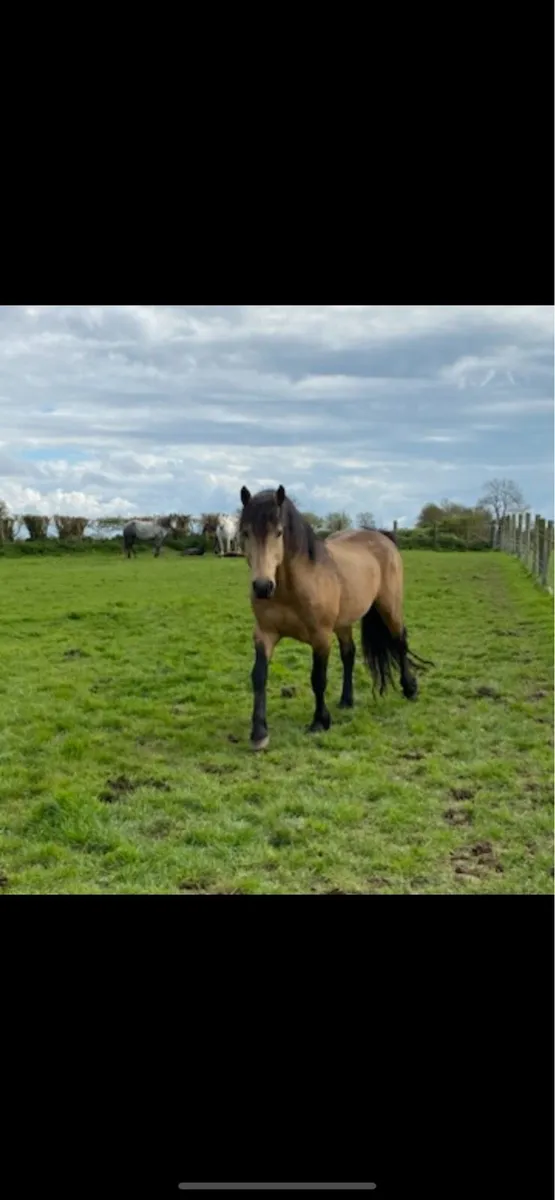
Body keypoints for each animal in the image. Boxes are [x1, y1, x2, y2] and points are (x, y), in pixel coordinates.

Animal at [239, 485, 433, 750]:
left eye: (278, 532)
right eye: (245, 532)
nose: (262, 587)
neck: (292, 587)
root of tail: (382, 537)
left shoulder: (321, 637)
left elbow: (318, 678)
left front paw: (320, 721)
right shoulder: (264, 634)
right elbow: (259, 676)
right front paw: (259, 733)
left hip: (389, 607)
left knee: (399, 641)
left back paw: (410, 689)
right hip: (344, 623)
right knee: (349, 654)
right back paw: (346, 700)